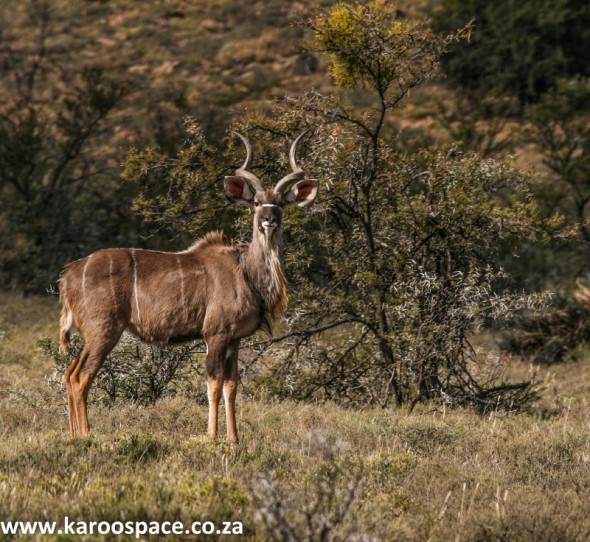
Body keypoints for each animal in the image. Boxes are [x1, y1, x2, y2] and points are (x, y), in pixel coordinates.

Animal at [59, 131, 320, 442]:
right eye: (256, 203)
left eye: (280, 203)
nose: (269, 220)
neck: (246, 271)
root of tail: (69, 273)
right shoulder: (215, 334)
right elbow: (213, 384)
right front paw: (212, 437)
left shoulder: (234, 339)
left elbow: (232, 386)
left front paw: (234, 440)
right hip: (103, 331)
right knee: (82, 376)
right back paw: (87, 436)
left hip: (92, 335)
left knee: (70, 373)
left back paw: (74, 434)